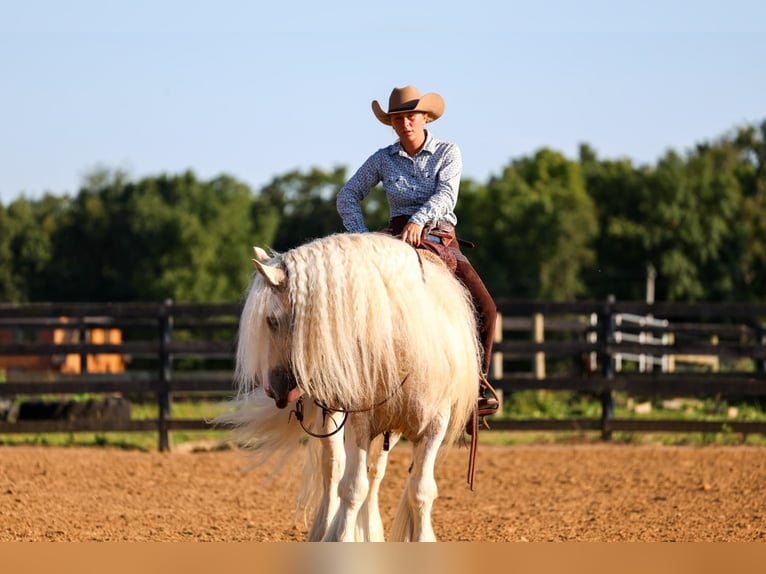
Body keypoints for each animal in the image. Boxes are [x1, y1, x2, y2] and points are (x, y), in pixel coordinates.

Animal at [217, 232, 481, 541]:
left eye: (271, 320)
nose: (275, 390)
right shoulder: (359, 424)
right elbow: (353, 488)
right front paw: (342, 536)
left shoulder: (434, 427)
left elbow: (421, 491)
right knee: (333, 468)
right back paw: (325, 529)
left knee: (376, 470)